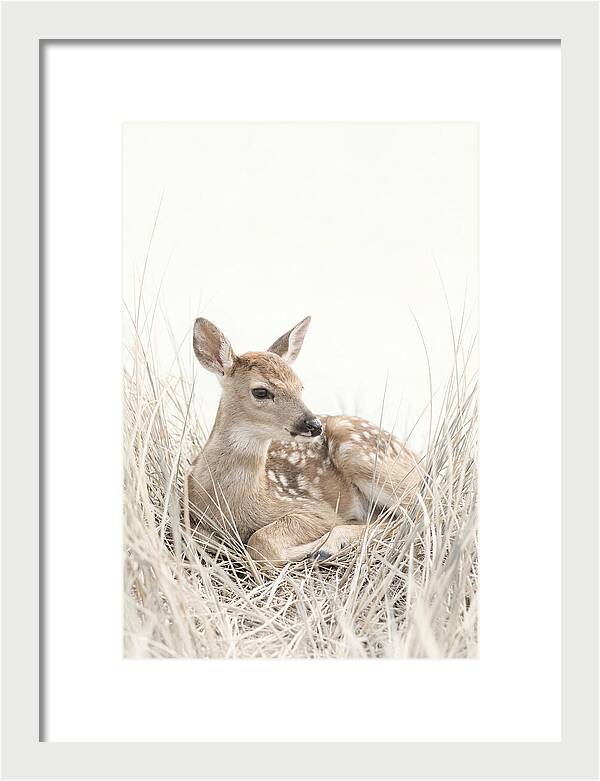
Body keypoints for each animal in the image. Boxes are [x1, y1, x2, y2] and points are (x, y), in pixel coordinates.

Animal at [185, 316, 421, 565]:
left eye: (300, 387)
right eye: (260, 392)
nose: (314, 424)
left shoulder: (314, 508)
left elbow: (261, 543)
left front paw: (313, 548)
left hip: (361, 455)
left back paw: (328, 546)